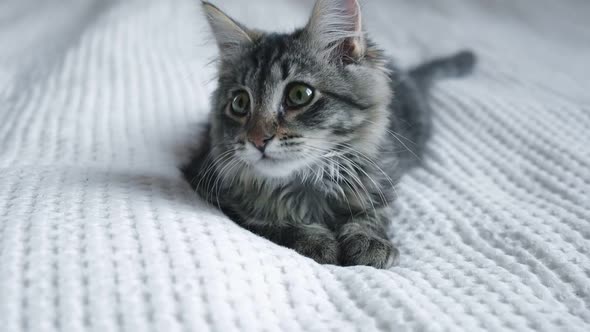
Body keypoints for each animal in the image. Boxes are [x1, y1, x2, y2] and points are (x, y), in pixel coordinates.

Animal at [183, 0, 478, 268]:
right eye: (240, 103)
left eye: (299, 95)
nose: (257, 140)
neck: (308, 182)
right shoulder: (207, 182)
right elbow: (268, 220)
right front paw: (316, 240)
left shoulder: (381, 178)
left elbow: (372, 213)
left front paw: (369, 241)